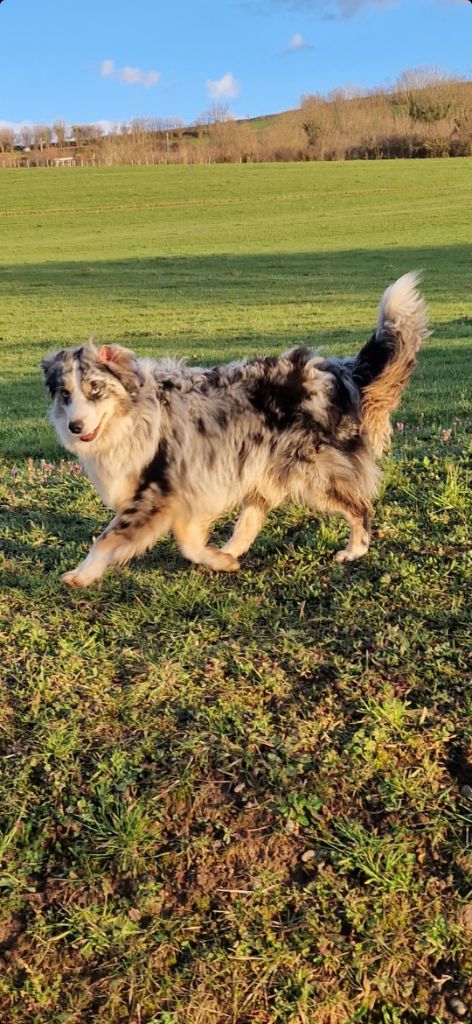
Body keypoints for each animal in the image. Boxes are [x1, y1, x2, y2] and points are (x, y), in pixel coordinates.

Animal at [42, 272, 427, 589]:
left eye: (95, 389)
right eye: (66, 394)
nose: (75, 426)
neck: (134, 417)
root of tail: (337, 370)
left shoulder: (155, 491)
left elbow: (107, 538)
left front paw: (81, 574)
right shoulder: (187, 490)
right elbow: (189, 542)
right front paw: (216, 560)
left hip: (313, 472)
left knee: (359, 506)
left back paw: (354, 550)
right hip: (262, 466)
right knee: (252, 517)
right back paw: (229, 552)